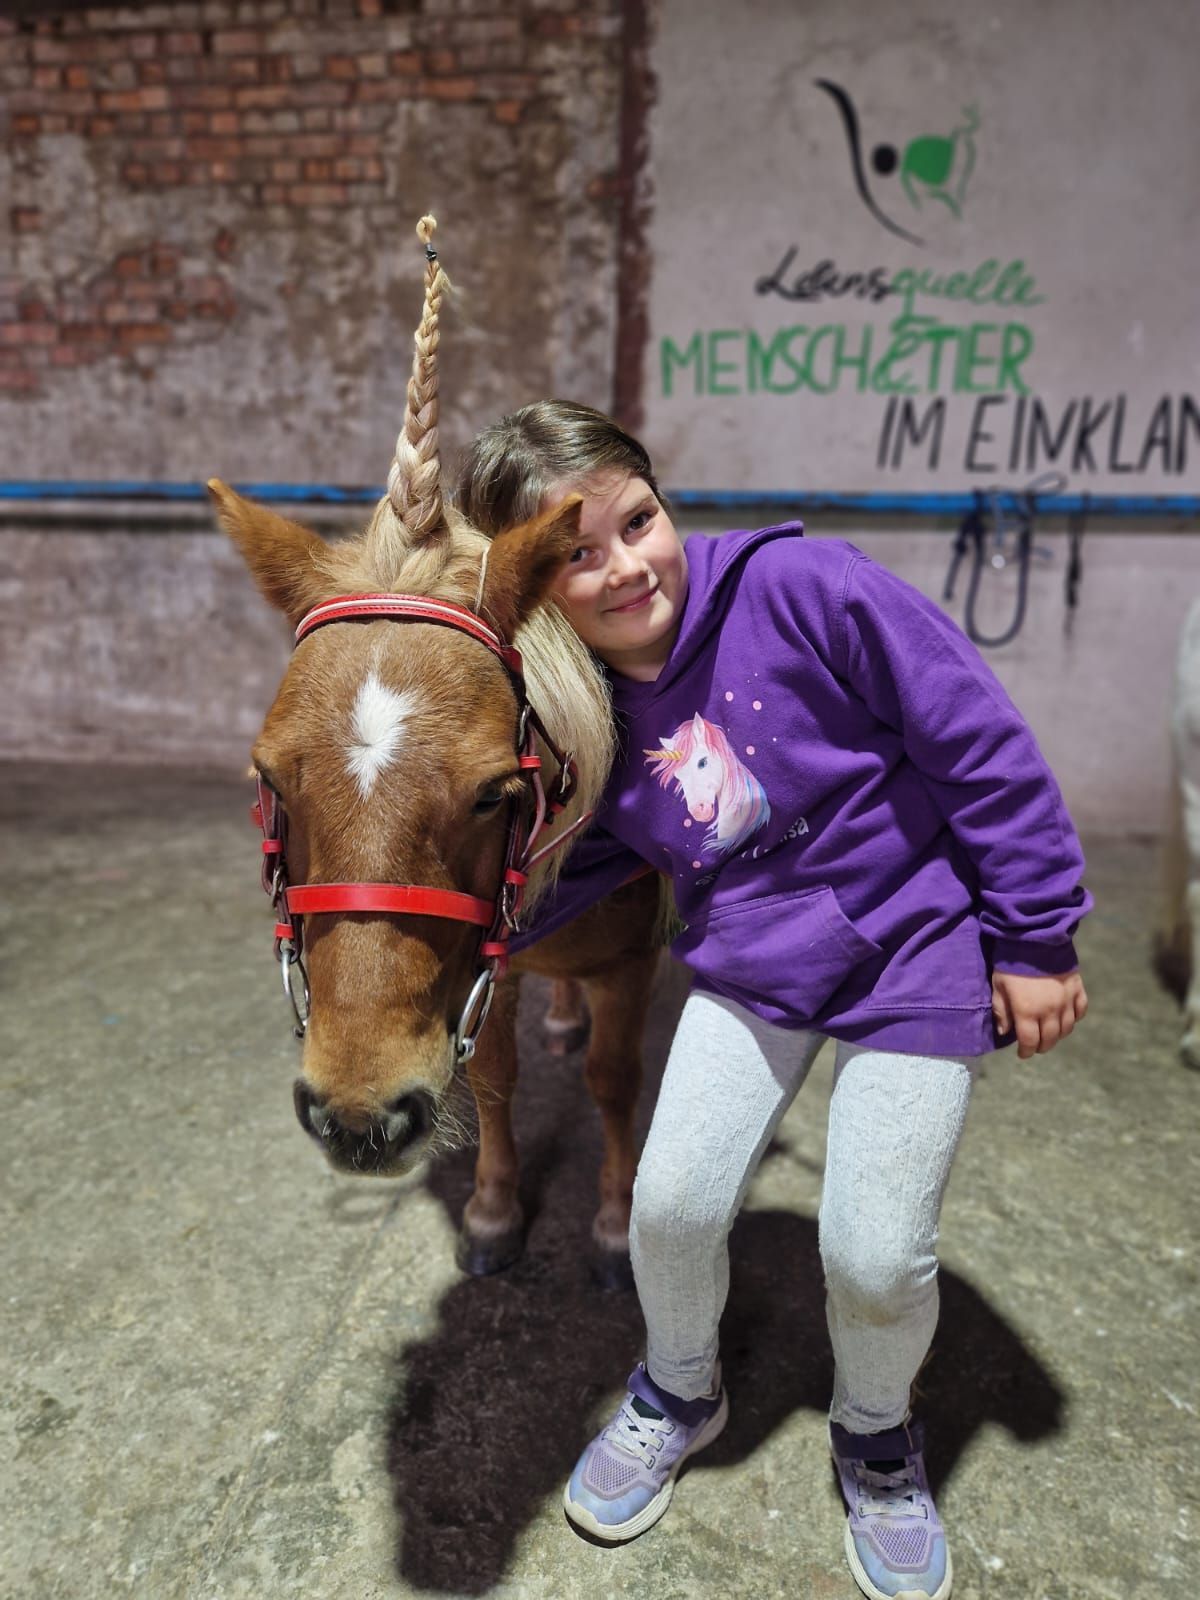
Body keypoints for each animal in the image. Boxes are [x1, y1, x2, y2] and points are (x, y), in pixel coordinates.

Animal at [209, 217, 665, 1285]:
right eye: (267, 777)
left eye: (498, 792)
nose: (361, 1116)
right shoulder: (483, 969)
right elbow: (493, 1077)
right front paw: (495, 1210)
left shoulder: (626, 961)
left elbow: (615, 1080)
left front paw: (617, 1220)